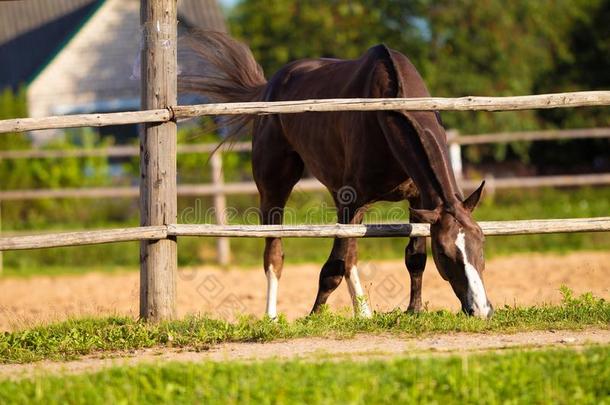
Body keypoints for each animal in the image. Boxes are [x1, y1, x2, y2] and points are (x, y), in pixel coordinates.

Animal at [178, 30, 492, 318]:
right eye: (446, 253)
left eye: (481, 244)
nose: (481, 309)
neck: (387, 109)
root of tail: (270, 85)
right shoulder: (352, 201)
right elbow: (332, 267)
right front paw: (314, 316)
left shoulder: (417, 200)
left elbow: (413, 258)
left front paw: (412, 311)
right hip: (274, 187)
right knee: (275, 252)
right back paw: (271, 316)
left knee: (350, 255)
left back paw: (363, 313)